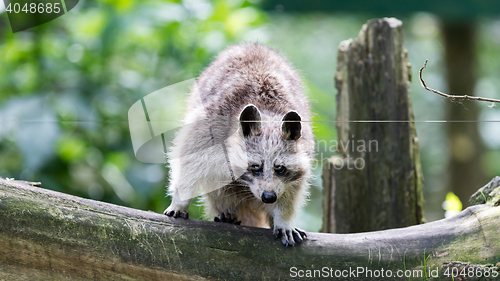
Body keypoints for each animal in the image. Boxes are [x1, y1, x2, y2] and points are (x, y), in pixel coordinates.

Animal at [163, 42, 312, 246]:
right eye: (255, 167)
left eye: (280, 169)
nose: (269, 197)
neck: (267, 111)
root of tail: (252, 45)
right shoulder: (208, 126)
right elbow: (189, 162)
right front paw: (180, 200)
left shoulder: (304, 148)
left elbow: (292, 190)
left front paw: (283, 217)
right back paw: (226, 210)